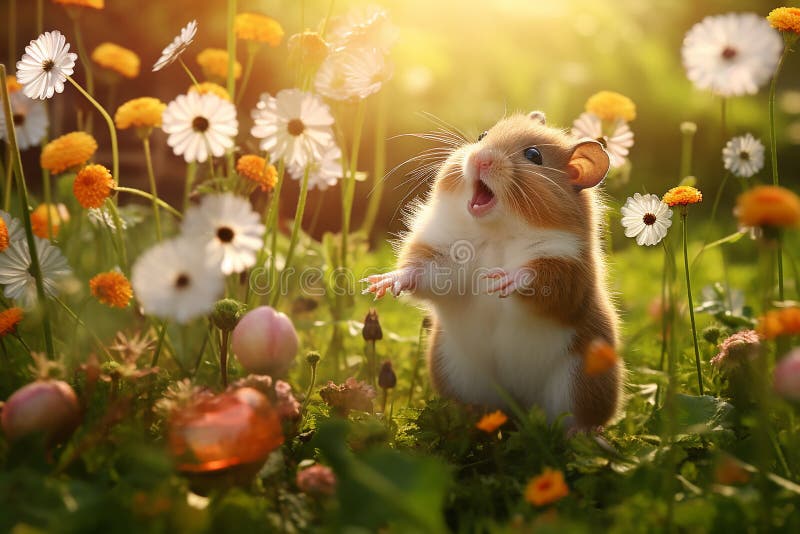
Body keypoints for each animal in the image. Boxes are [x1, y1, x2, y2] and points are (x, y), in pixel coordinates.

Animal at [363, 111, 622, 430]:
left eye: (534, 156)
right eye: (482, 136)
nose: (480, 158)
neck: (498, 230)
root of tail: (520, 405)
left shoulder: (570, 272)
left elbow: (537, 276)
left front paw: (500, 279)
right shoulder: (443, 256)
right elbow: (420, 272)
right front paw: (380, 284)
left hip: (580, 383)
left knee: (577, 421)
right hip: (457, 372)